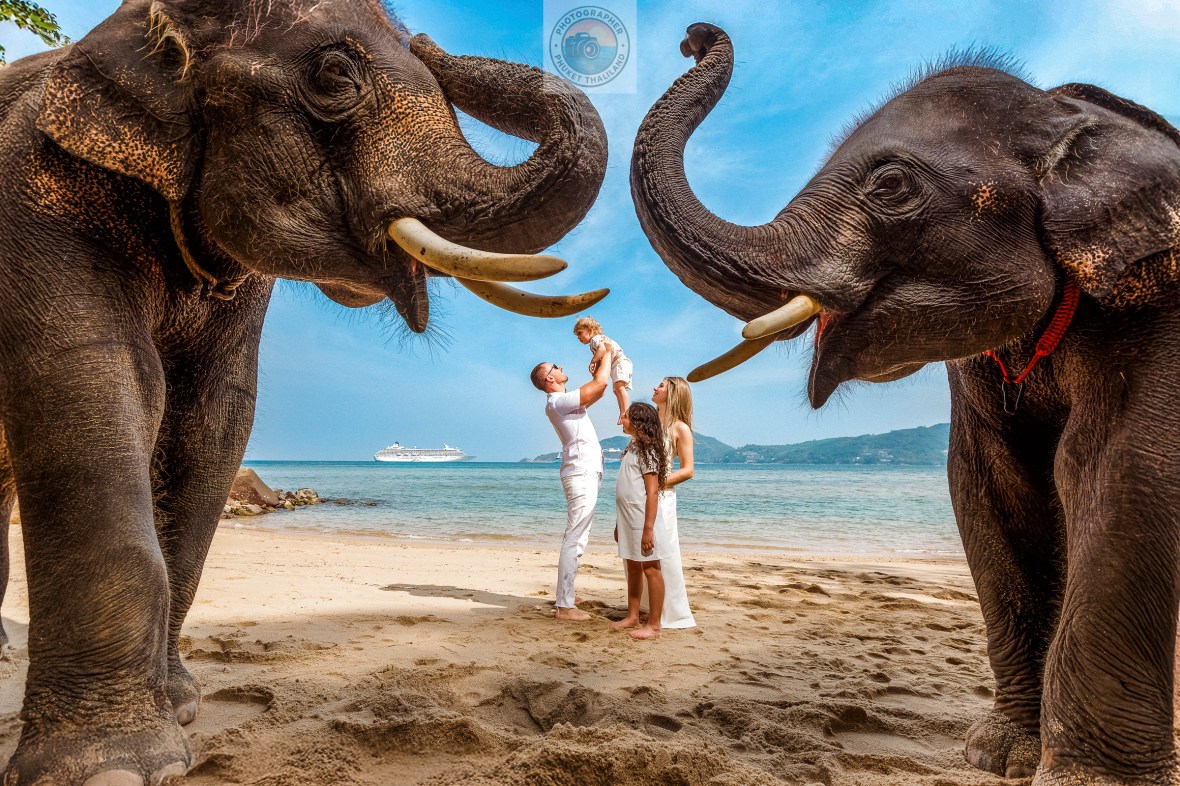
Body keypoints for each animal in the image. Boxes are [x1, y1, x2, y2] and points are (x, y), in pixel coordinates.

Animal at [0, 0, 607, 782]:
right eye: (334, 77)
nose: (431, 38)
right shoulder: (34, 197)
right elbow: (96, 377)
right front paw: (114, 768)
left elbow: (215, 417)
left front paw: (183, 709)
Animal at [631, 22, 1180, 786]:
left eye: (891, 185)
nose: (694, 35)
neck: (1067, 109)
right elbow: (991, 486)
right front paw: (998, 755)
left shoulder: (1158, 308)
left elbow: (1124, 472)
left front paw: (1081, 778)